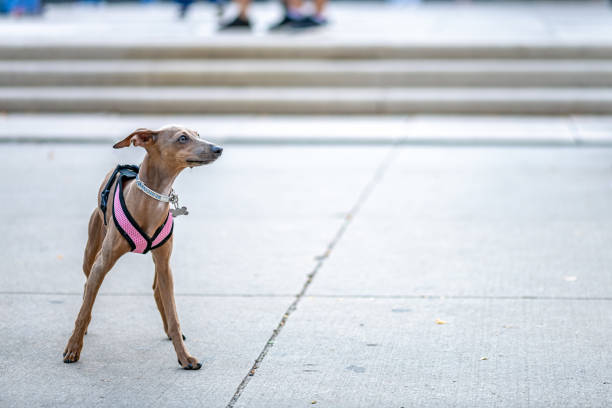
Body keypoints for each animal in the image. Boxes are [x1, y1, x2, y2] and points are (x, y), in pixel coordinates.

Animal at [63, 124, 221, 370]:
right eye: (182, 138)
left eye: (198, 134)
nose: (218, 149)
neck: (151, 200)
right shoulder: (102, 263)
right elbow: (84, 308)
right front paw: (73, 348)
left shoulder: (165, 263)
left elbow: (174, 315)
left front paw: (185, 357)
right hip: (91, 251)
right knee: (86, 286)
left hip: (161, 264)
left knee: (157, 290)